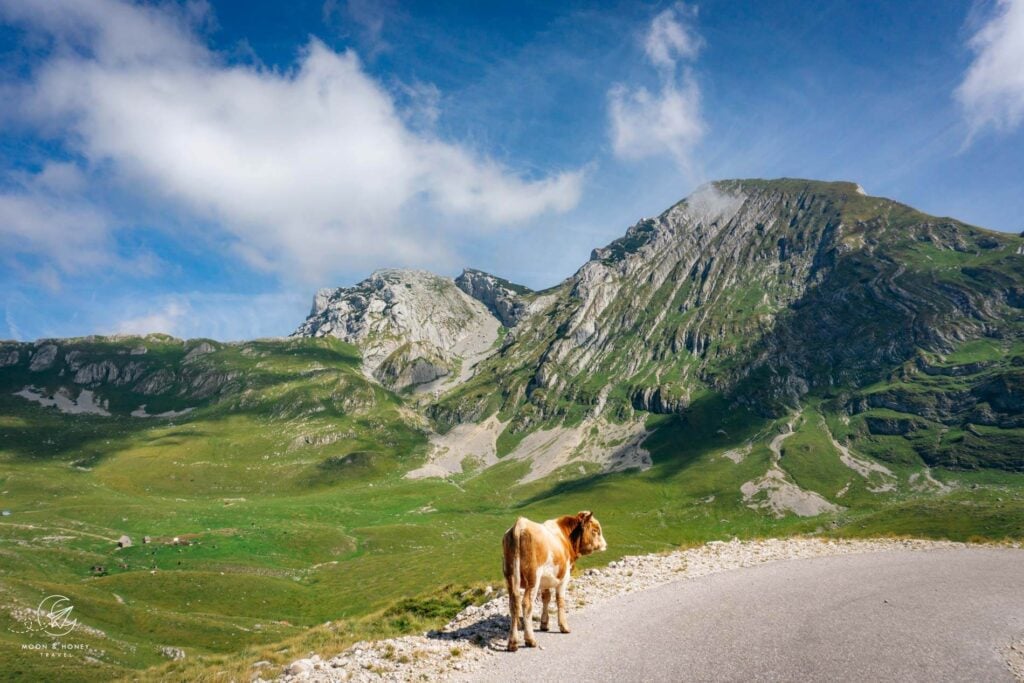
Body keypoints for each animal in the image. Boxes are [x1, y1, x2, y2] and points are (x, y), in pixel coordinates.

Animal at [503, 511, 606, 651]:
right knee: (527, 604)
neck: (566, 538)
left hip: (510, 576)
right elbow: (560, 600)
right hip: (533, 578)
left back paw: (513, 642)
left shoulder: (546, 580)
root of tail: (520, 524)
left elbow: (546, 598)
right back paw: (530, 639)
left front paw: (544, 624)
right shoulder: (564, 578)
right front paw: (564, 626)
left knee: (514, 603)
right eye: (595, 530)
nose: (605, 544)